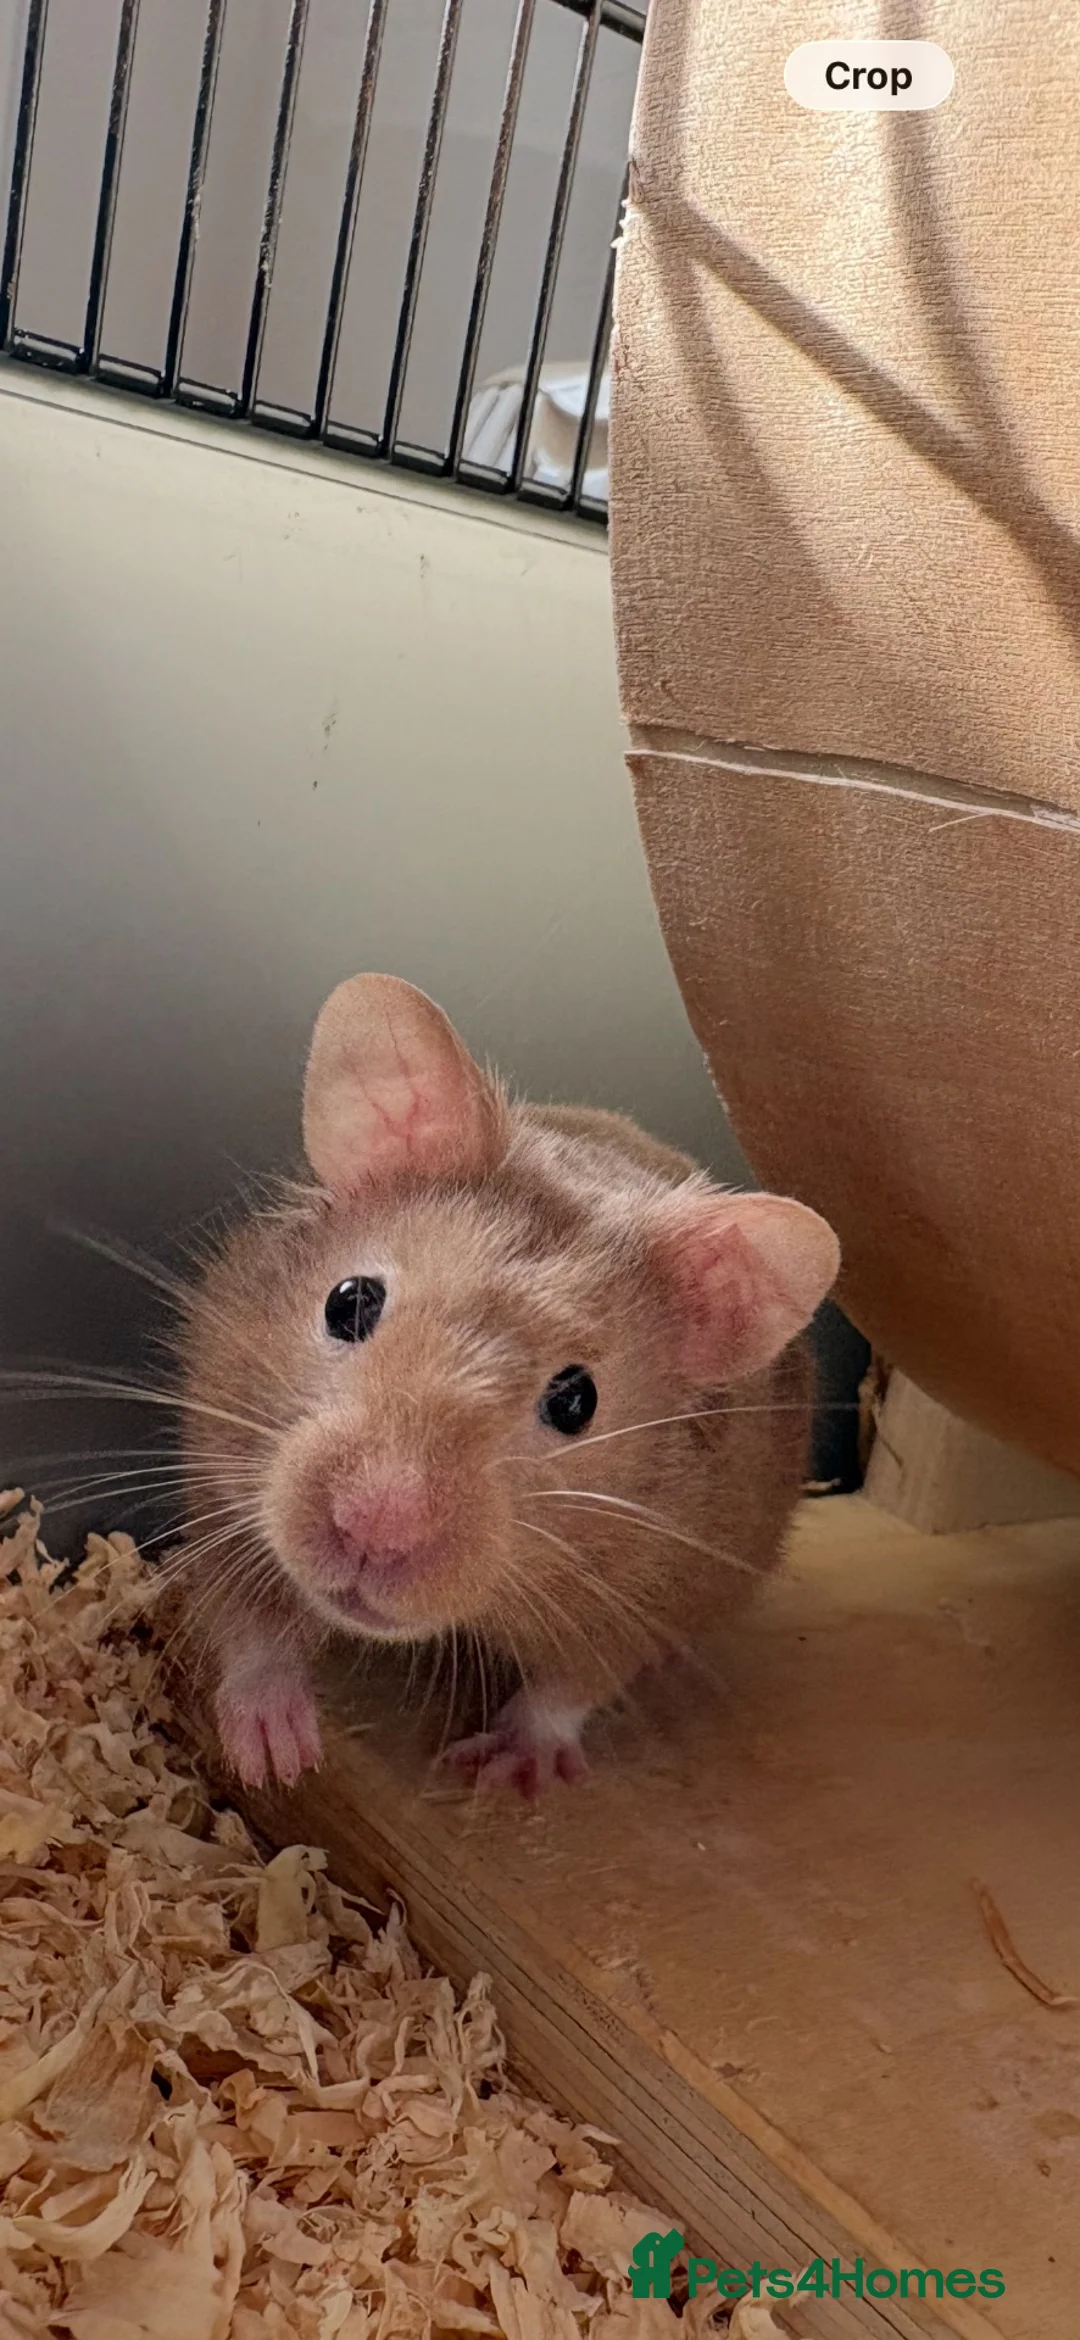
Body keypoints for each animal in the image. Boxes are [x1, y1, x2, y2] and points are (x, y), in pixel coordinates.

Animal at [174, 974, 840, 1797]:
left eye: (577, 1400)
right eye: (349, 1302)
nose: (373, 1530)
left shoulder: (647, 1593)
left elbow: (571, 1683)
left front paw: (503, 1774)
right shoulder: (216, 1469)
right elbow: (250, 1617)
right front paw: (275, 1759)